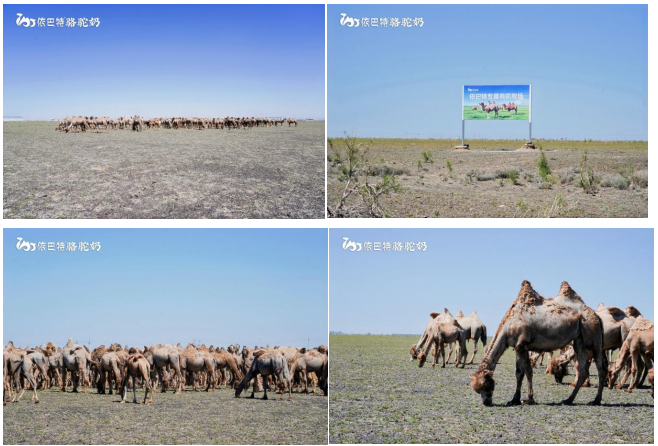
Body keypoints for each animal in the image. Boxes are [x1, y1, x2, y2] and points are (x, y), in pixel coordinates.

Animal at [470, 281, 605, 406]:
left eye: (486, 386)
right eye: (478, 390)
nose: (486, 402)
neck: (507, 327)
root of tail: (597, 316)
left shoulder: (520, 345)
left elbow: (519, 373)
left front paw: (515, 400)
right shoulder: (525, 346)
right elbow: (529, 371)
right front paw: (529, 398)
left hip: (594, 338)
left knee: (600, 367)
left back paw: (596, 400)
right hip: (579, 340)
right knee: (583, 370)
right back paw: (568, 400)